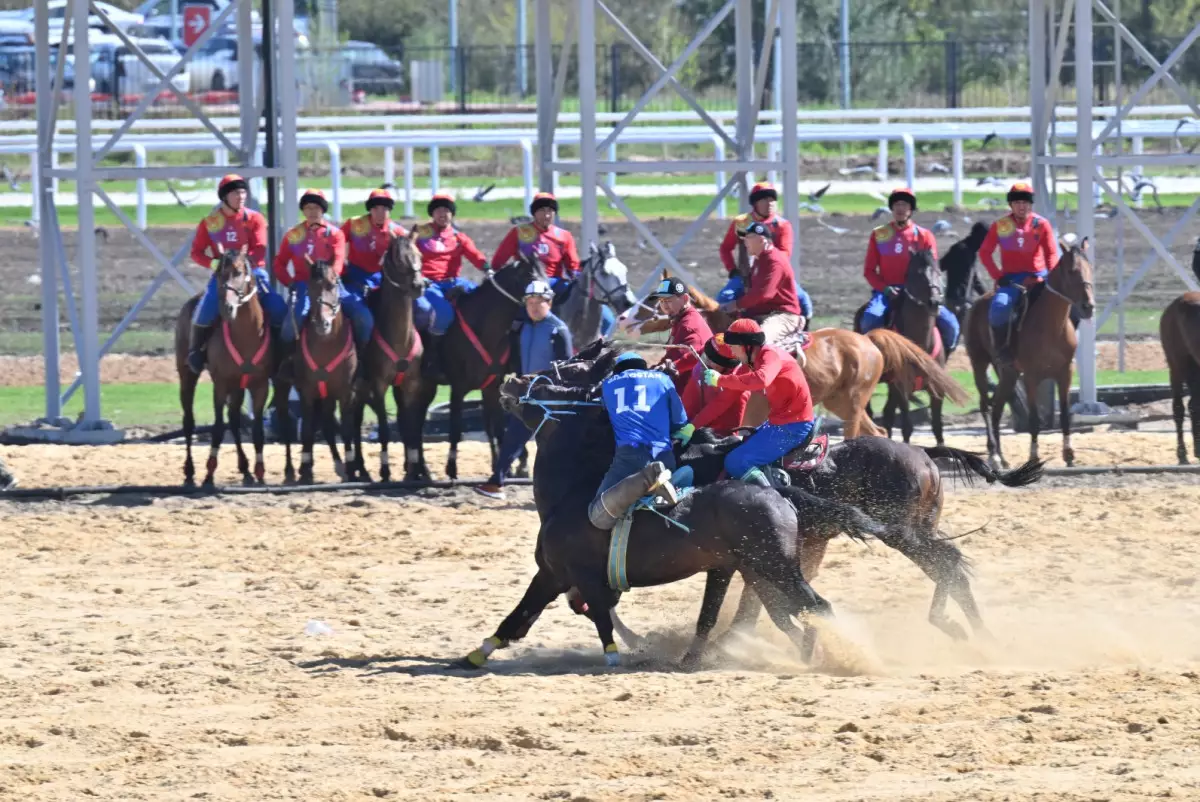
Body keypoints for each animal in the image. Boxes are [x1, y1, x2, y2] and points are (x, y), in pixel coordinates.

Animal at [174, 241, 276, 485]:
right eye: (219, 273)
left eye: (239, 272)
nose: (226, 307)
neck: (247, 335)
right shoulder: (220, 384)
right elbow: (218, 427)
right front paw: (209, 474)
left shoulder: (260, 385)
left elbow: (257, 430)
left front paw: (260, 472)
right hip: (187, 375)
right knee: (189, 421)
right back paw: (189, 471)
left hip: (238, 386)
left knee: (235, 420)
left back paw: (246, 469)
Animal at [289, 261, 355, 482]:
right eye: (310, 288)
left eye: (333, 286)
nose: (321, 323)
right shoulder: (307, 392)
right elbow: (307, 430)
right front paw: (305, 469)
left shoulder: (345, 392)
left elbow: (346, 429)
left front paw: (350, 468)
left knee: (327, 425)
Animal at [348, 231, 427, 482]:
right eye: (399, 259)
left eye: (420, 254)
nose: (418, 285)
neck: (399, 337)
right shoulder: (378, 384)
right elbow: (384, 427)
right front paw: (385, 471)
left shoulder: (411, 384)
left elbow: (410, 427)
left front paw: (413, 470)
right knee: (354, 423)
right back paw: (359, 469)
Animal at [398, 250, 544, 480]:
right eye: (529, 274)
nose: (548, 294)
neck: (484, 329)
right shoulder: (458, 388)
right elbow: (456, 428)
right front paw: (451, 468)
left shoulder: (492, 386)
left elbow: (497, 427)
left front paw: (503, 467)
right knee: (409, 422)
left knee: (416, 422)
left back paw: (421, 470)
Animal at [964, 231, 1099, 470]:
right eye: (1072, 270)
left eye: (1089, 267)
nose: (1088, 306)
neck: (1051, 325)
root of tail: (978, 303)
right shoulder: (1031, 376)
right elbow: (1035, 419)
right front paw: (1034, 456)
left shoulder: (1065, 373)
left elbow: (1065, 415)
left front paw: (1069, 455)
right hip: (979, 363)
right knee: (986, 407)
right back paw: (992, 456)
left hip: (1008, 373)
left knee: (997, 408)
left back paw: (1002, 458)